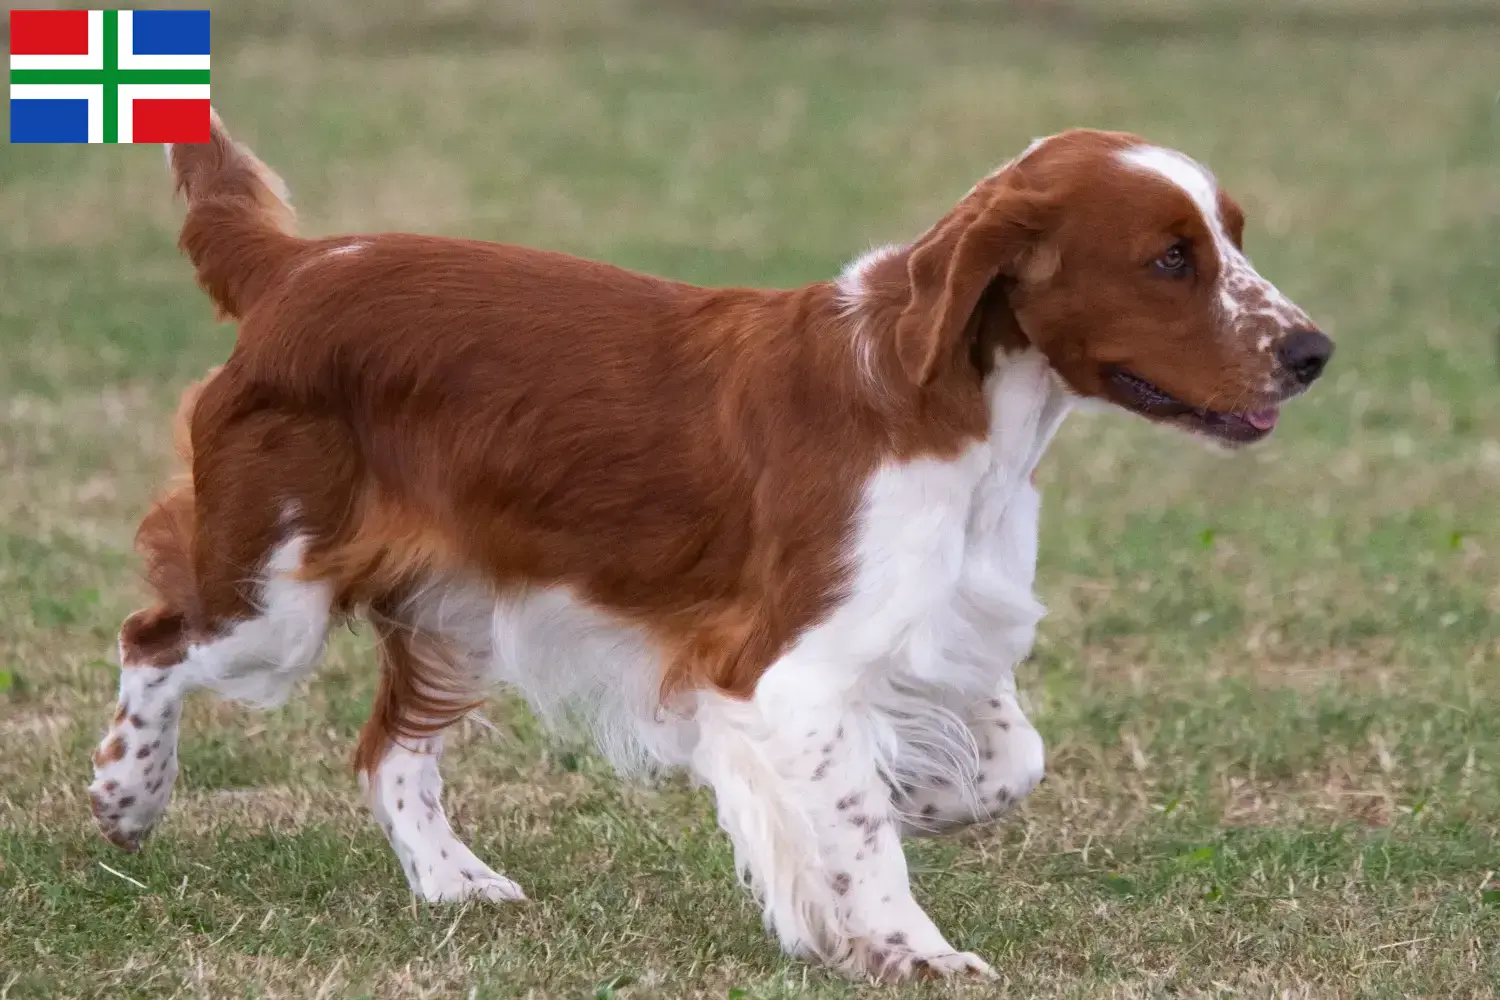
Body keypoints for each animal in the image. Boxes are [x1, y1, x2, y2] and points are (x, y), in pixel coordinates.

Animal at [87, 113, 1332, 983]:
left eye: (1231, 238)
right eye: (1169, 259)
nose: (1314, 350)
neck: (959, 408)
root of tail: (296, 266)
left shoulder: (944, 622)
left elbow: (1001, 761)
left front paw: (913, 802)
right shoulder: (791, 665)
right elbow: (861, 826)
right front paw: (912, 947)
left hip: (452, 606)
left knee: (390, 748)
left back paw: (454, 881)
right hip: (274, 596)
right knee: (155, 636)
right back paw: (126, 799)